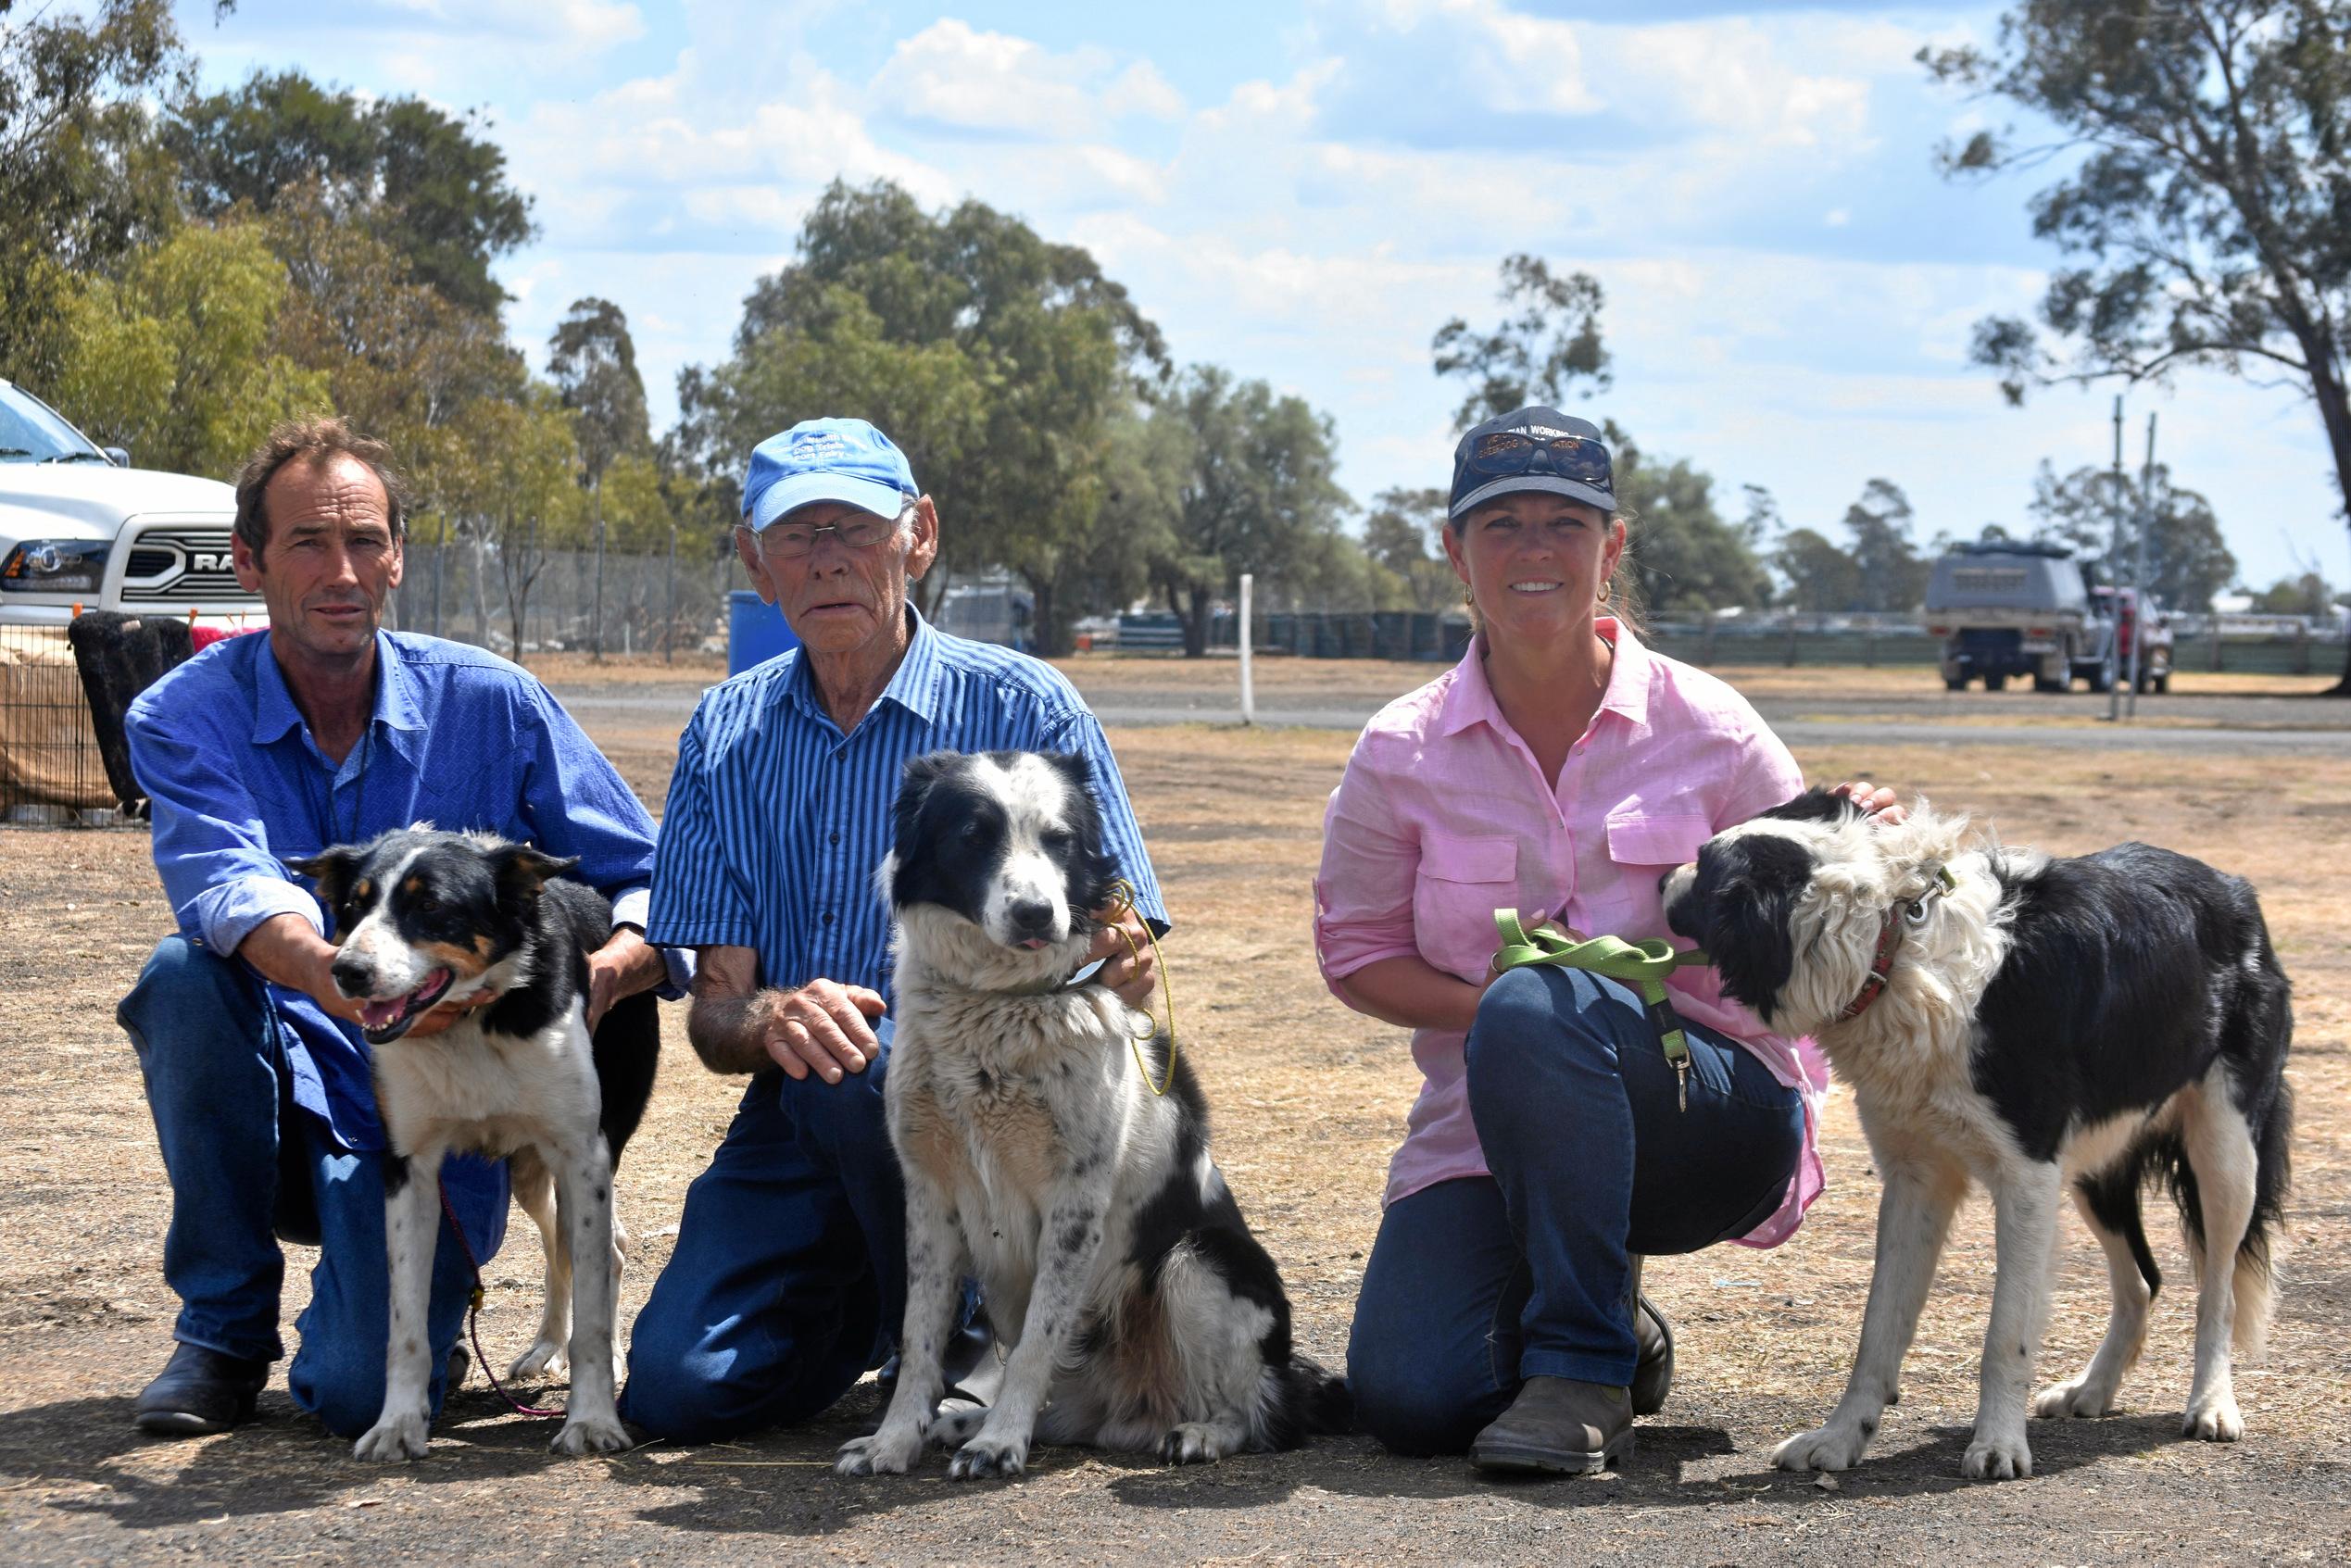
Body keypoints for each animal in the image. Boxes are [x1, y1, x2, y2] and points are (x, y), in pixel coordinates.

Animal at [295, 827, 662, 1466]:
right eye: (354, 908)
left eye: (430, 905)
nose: (347, 971)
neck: (471, 1021)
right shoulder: (409, 1169)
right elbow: (405, 1324)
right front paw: (398, 1425)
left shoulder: (582, 1157)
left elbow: (593, 1313)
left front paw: (593, 1420)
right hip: (530, 1174)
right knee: (558, 1250)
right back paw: (546, 1345)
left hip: (585, 1155)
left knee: (600, 1255)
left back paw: (605, 1357)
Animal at [832, 747, 1344, 1486]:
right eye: (973, 836)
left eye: (1060, 840)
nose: (1035, 914)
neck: (999, 1004)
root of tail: (1130, 1408)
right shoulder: (930, 1196)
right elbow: (920, 1334)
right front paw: (896, 1438)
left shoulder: (1075, 1200)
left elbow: (1038, 1336)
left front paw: (999, 1442)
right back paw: (963, 1423)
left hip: (1202, 1261)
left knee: (1260, 1413)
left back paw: (1198, 1432)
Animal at [1654, 798, 2294, 1486]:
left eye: (1707, 871)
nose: (1660, 879)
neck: (1893, 944)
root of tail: (2233, 887)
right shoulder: (1917, 1181)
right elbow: (1878, 1330)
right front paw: (1840, 1438)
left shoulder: (2026, 1178)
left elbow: (2005, 1334)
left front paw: (1998, 1445)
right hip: (2096, 1166)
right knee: (2142, 1281)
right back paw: (2093, 1390)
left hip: (2225, 1156)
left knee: (2217, 1292)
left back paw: (2212, 1404)